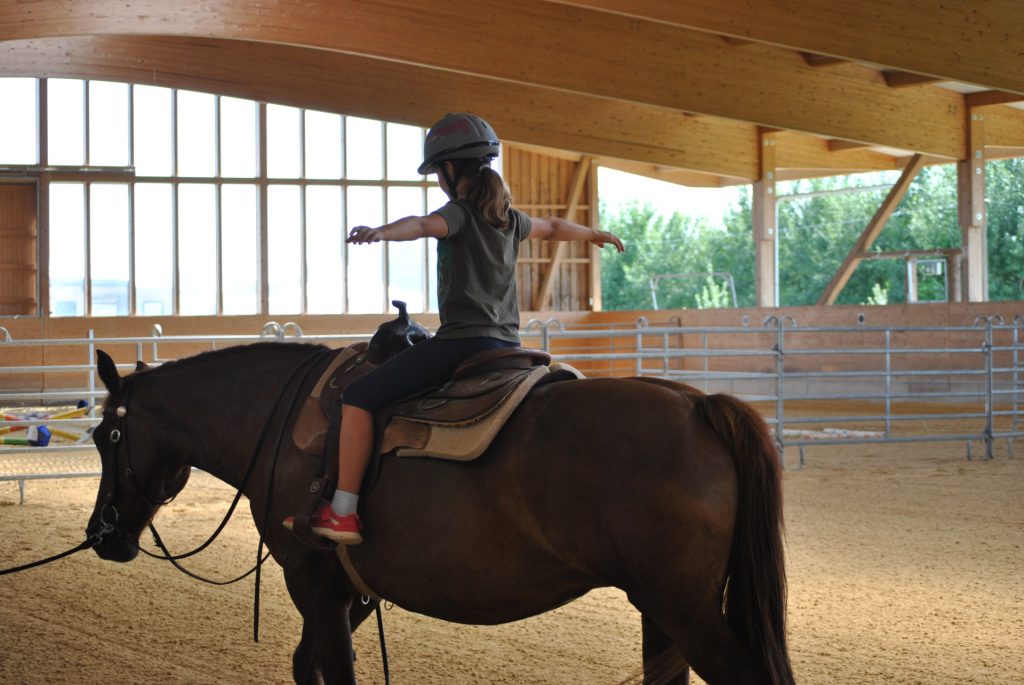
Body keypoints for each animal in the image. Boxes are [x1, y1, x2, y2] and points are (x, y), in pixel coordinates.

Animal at [86, 341, 794, 685]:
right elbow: (305, 665)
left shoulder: (314, 584)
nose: (101, 535)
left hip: (687, 610)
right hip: (661, 611)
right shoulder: (351, 592)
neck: (279, 420)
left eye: (103, 437)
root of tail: (699, 406)